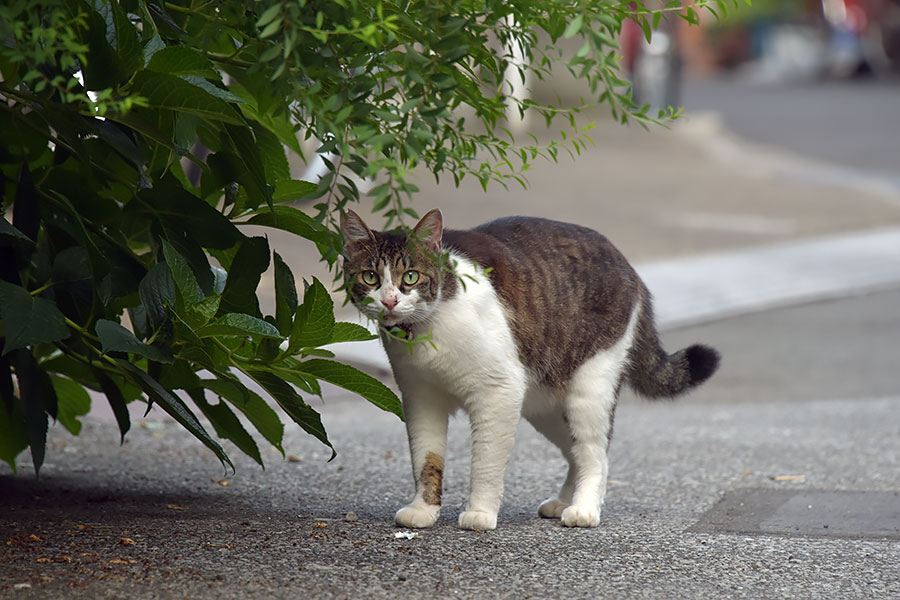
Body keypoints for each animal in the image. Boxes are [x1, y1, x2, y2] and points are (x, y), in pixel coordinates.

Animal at [342, 209, 720, 528]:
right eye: (371, 277)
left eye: (410, 276)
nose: (389, 300)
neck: (425, 329)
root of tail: (628, 264)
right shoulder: (421, 397)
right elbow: (426, 458)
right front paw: (423, 510)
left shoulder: (498, 391)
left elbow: (486, 462)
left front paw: (479, 513)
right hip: (544, 405)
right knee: (575, 452)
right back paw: (563, 501)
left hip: (588, 390)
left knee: (595, 455)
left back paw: (583, 509)